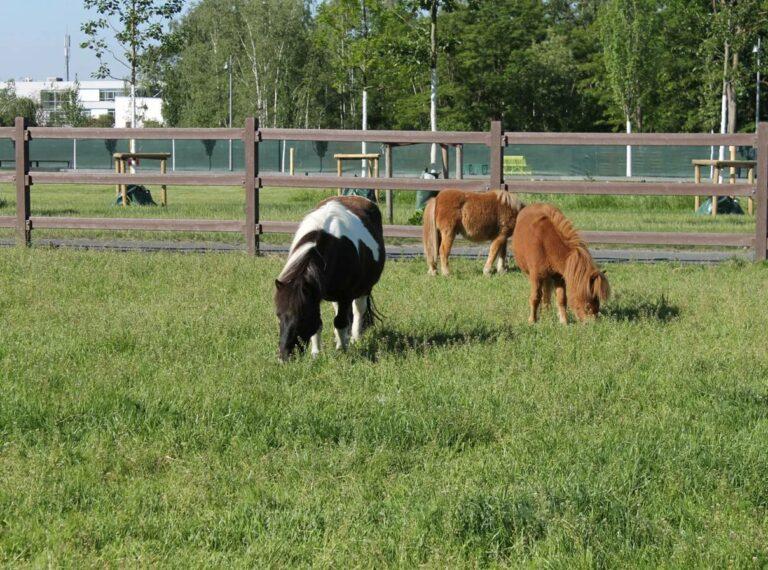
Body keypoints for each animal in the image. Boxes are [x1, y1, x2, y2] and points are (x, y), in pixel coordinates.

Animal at [274, 196, 385, 361]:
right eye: (278, 315)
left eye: (302, 317)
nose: (285, 357)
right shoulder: (315, 295)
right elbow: (318, 324)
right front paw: (316, 353)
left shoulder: (345, 295)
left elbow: (340, 322)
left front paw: (342, 350)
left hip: (364, 289)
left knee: (358, 311)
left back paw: (354, 339)